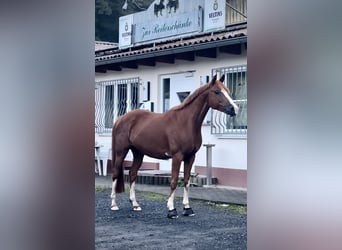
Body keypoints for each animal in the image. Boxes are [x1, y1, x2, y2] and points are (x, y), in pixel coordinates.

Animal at [109, 73, 238, 218]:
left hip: (138, 153)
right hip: (121, 151)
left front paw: (187, 208)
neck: (185, 122)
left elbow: (186, 181)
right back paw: (114, 204)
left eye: (227, 91)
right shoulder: (177, 156)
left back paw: (135, 205)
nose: (234, 109)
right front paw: (171, 210)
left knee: (132, 174)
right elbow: (174, 180)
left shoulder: (190, 157)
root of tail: (120, 119)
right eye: (216, 92)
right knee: (115, 173)